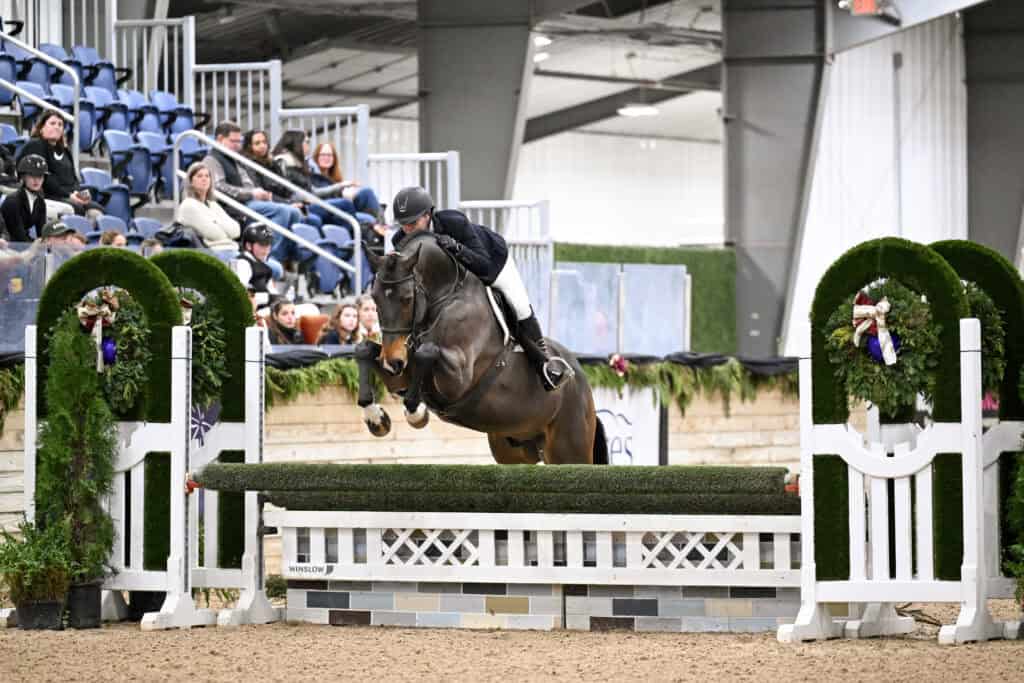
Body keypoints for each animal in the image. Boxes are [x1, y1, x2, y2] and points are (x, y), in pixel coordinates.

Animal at [354, 232, 607, 465]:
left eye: (407, 299)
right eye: (374, 298)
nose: (392, 362)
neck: (444, 297)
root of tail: (581, 379)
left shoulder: (457, 379)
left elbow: (428, 351)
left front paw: (416, 413)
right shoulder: (403, 373)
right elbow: (364, 349)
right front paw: (376, 418)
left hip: (570, 449)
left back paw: (552, 372)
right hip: (513, 449)